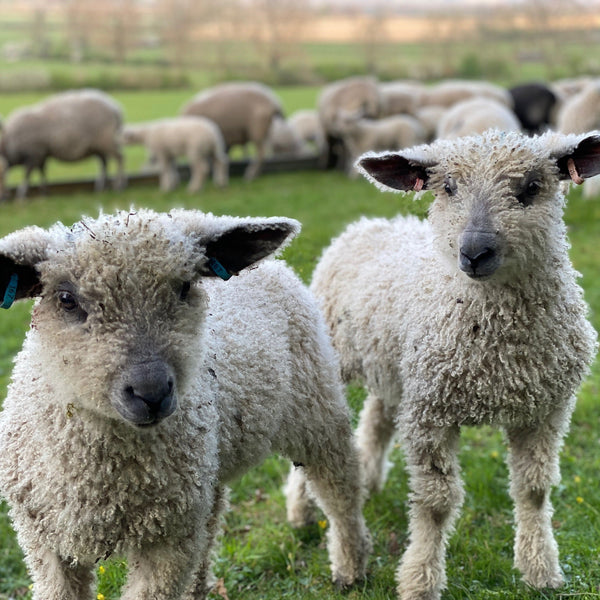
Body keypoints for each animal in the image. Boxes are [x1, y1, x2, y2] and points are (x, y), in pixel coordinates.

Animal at [0, 207, 370, 600]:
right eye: (67, 299)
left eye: (184, 287)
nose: (151, 392)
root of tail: (275, 264)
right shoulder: (43, 544)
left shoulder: (169, 542)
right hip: (207, 473)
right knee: (211, 526)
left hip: (316, 407)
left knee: (340, 490)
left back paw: (349, 568)